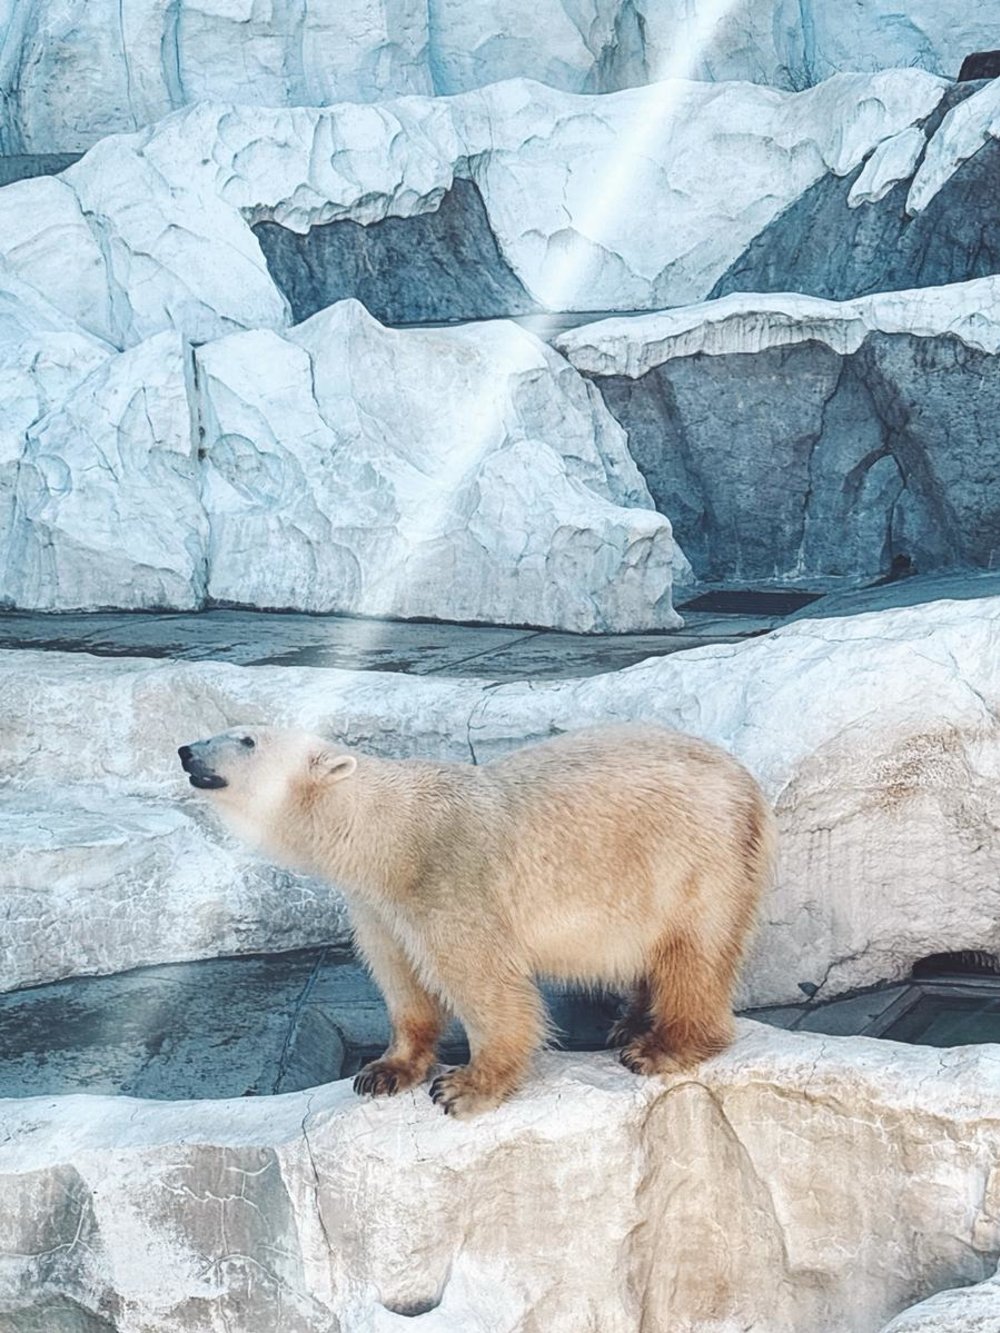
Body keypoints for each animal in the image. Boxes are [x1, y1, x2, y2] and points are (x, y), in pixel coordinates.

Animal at [179, 723, 775, 1118]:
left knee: (693, 950)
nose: (185, 750)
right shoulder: (378, 908)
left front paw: (464, 1087)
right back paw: (629, 1023)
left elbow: (484, 981)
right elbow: (402, 982)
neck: (385, 837)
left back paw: (659, 1046)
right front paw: (383, 1072)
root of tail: (748, 786)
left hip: (690, 859)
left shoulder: (448, 880)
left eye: (247, 738)